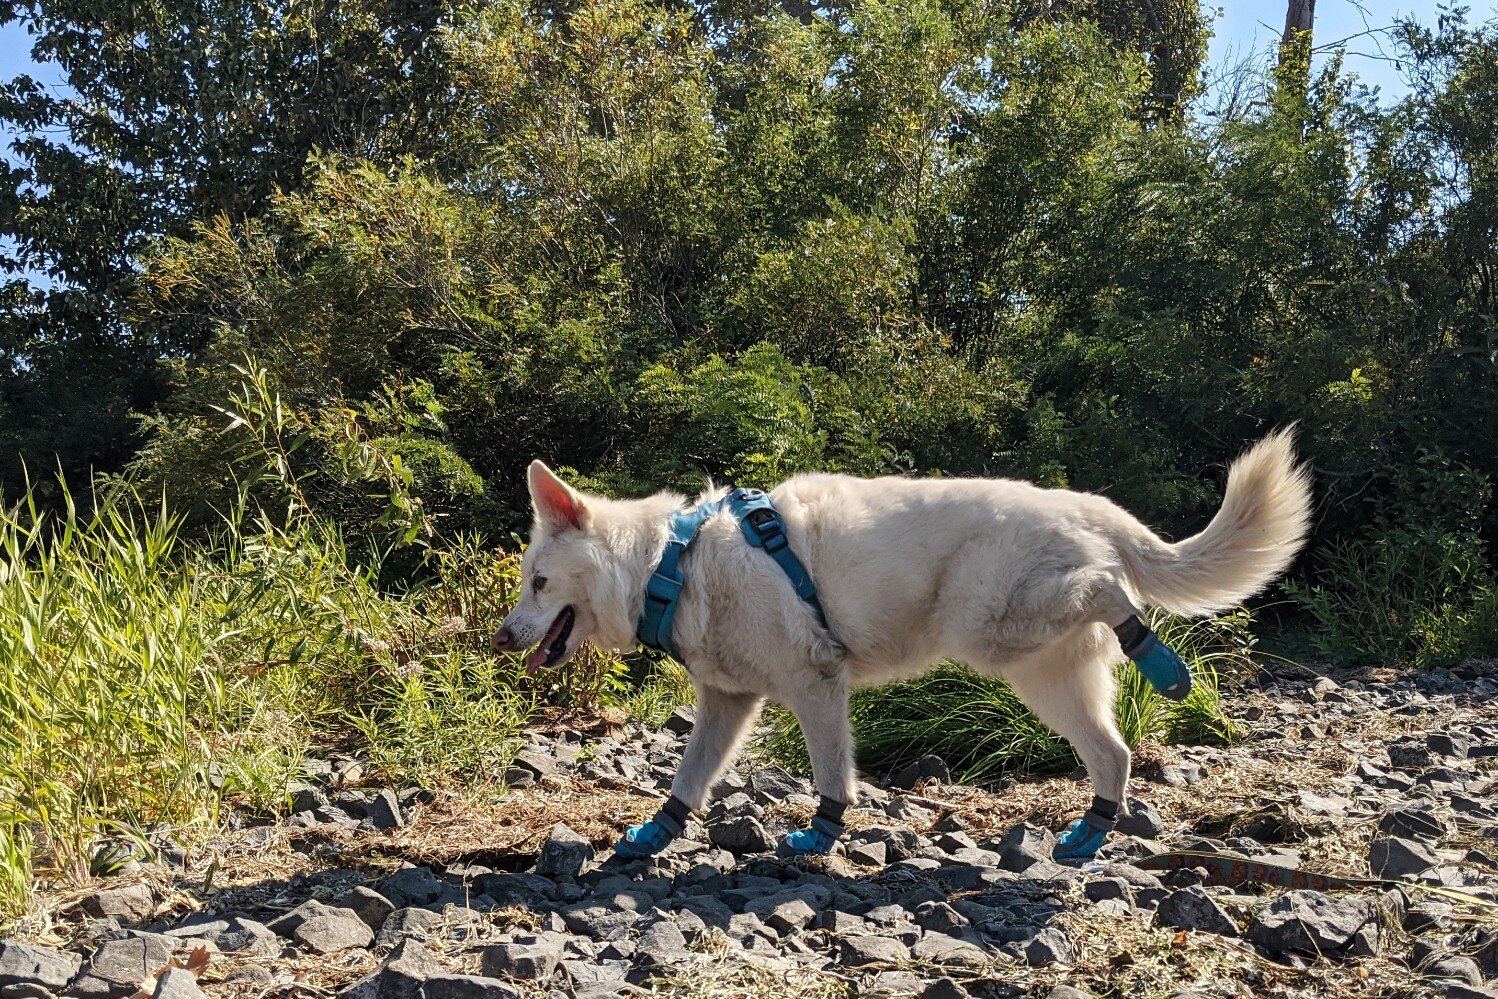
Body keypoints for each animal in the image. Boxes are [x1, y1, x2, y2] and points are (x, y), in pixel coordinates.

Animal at [494, 434, 1312, 862]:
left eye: (538, 582)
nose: (502, 639)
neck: (674, 563)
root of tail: (1085, 504)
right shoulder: (729, 702)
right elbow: (689, 777)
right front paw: (654, 834)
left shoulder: (817, 685)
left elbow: (833, 777)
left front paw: (819, 835)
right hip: (1043, 674)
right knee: (1114, 753)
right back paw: (1087, 834)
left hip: (995, 629)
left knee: (1114, 591)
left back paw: (1165, 665)